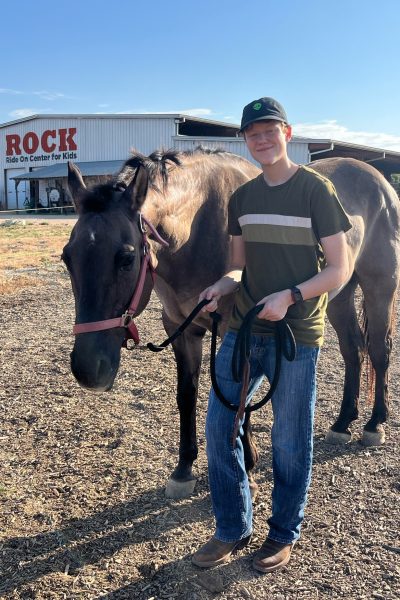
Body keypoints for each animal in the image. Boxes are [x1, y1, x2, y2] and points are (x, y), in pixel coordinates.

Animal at [62, 149, 400, 496]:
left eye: (127, 258)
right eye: (67, 257)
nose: (89, 369)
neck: (201, 229)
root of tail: (378, 179)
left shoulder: (240, 329)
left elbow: (241, 396)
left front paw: (247, 467)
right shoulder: (182, 329)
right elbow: (187, 395)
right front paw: (184, 469)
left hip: (379, 287)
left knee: (379, 351)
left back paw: (374, 424)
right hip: (340, 296)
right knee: (352, 350)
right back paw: (343, 422)